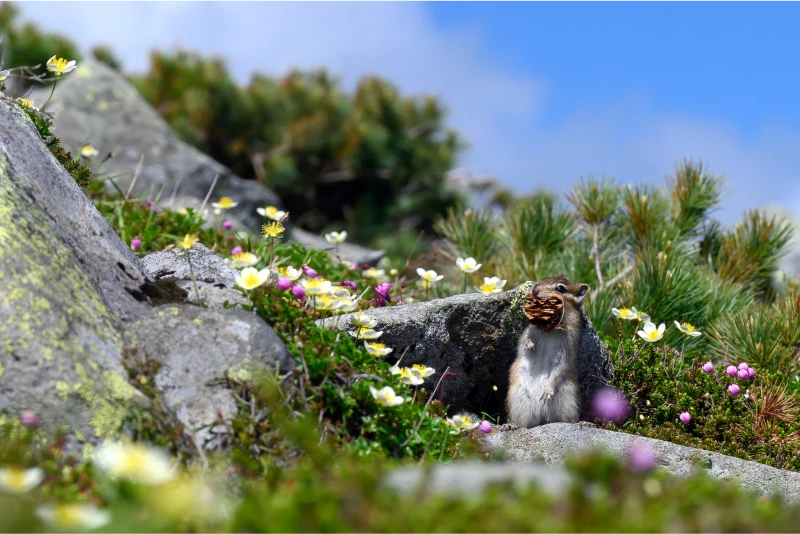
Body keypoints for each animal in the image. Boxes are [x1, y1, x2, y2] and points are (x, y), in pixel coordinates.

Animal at [505, 276, 589, 429]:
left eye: (560, 288)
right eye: (541, 280)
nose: (535, 290)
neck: (550, 328)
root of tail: (542, 419)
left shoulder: (567, 348)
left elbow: (560, 368)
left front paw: (547, 390)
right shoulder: (529, 330)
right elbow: (522, 344)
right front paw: (530, 344)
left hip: (567, 398)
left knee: (568, 420)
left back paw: (582, 422)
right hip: (518, 399)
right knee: (524, 425)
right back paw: (511, 426)